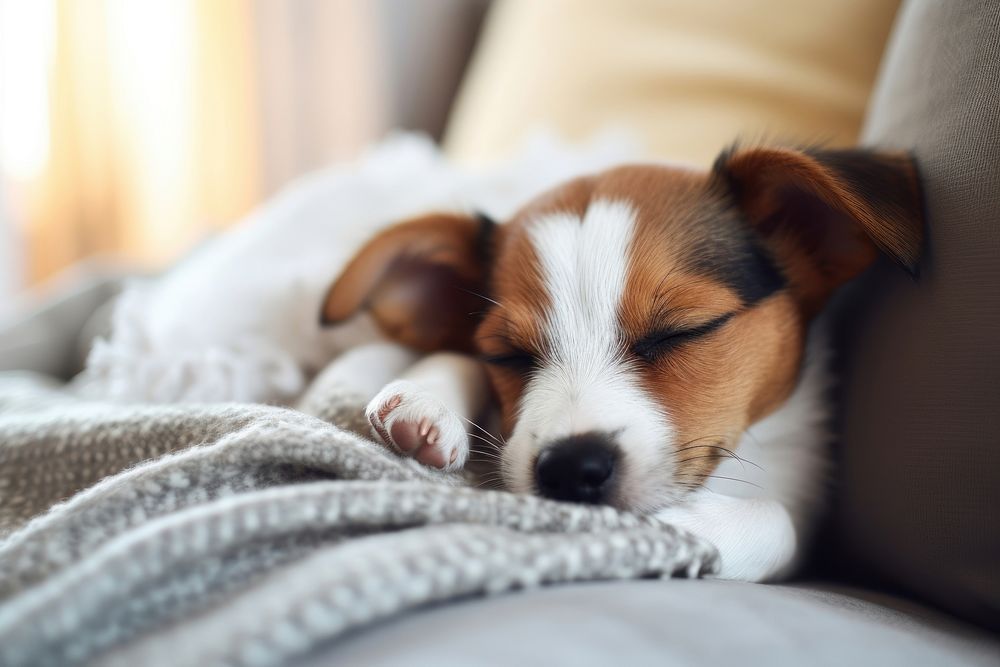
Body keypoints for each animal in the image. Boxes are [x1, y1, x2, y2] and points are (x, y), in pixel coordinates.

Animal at [314, 144, 920, 580]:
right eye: (506, 354)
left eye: (681, 331)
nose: (569, 469)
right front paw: (426, 404)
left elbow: (779, 521)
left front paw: (681, 524)